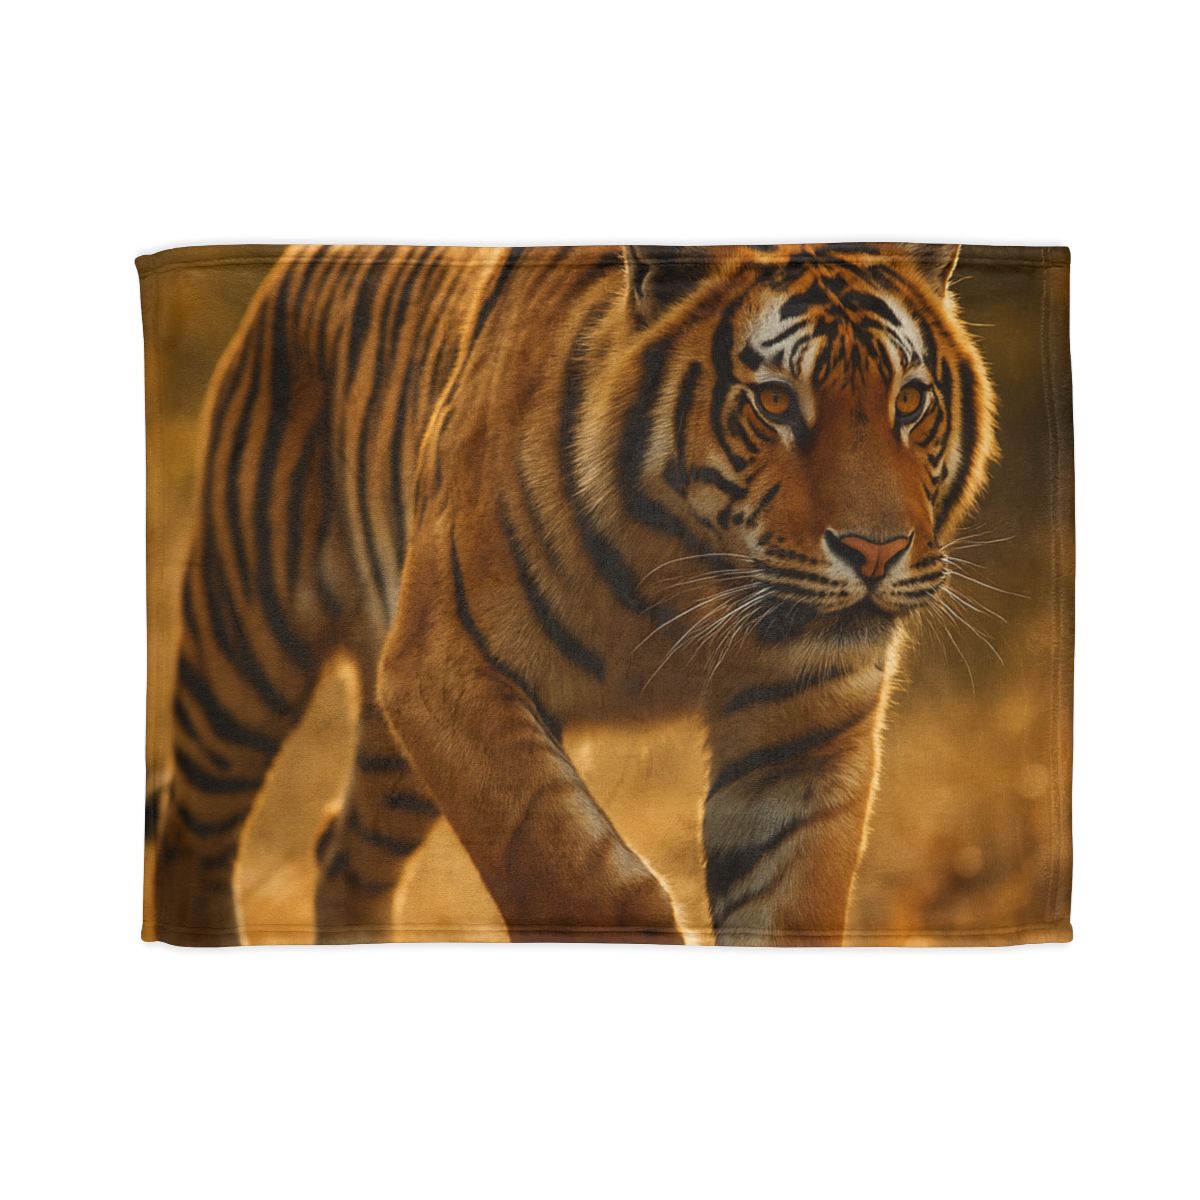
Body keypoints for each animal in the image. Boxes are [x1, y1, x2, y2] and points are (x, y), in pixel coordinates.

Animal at [149, 242, 997, 946]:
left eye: (910, 401)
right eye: (776, 402)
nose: (875, 551)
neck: (689, 579)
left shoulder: (806, 722)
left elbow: (790, 908)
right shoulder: (443, 671)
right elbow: (571, 870)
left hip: (391, 756)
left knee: (343, 855)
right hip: (247, 646)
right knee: (192, 830)